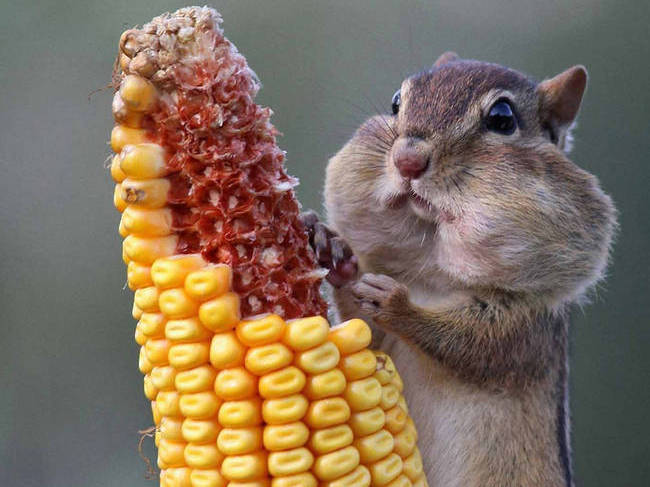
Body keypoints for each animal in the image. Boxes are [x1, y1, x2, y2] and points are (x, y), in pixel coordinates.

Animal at [300, 52, 616, 486]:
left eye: (502, 118)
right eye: (396, 102)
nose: (407, 160)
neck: (432, 276)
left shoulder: (526, 328)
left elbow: (471, 346)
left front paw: (397, 304)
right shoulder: (381, 346)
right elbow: (363, 337)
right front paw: (332, 249)